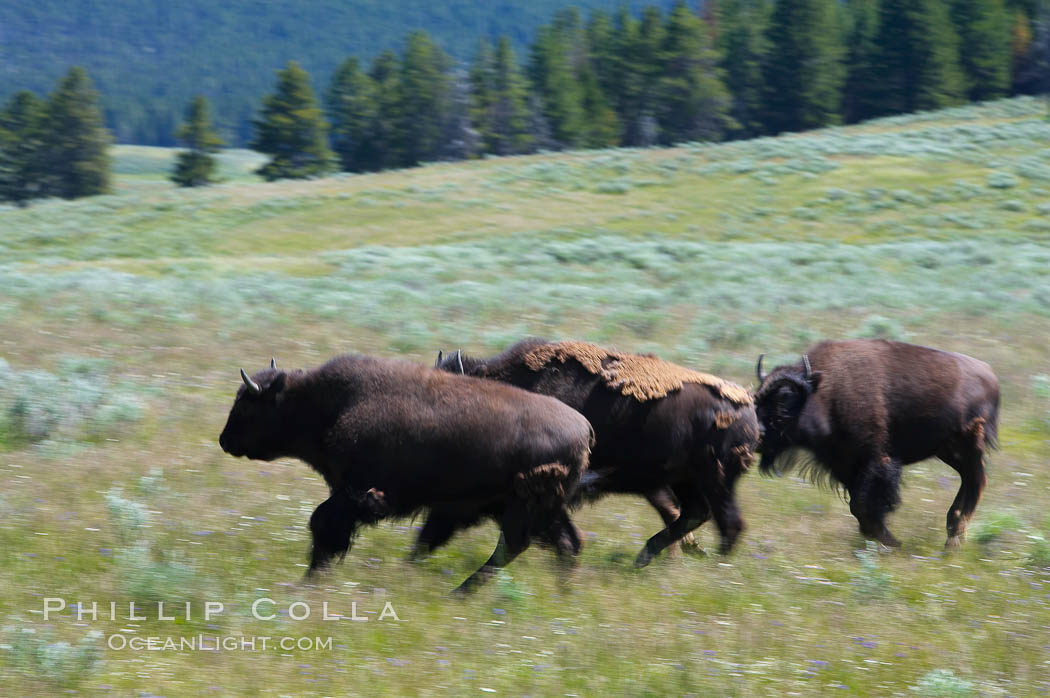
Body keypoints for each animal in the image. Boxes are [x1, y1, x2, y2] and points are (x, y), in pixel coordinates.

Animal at [217, 354, 596, 591]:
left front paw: (311, 578)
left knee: (515, 546)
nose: (224, 440)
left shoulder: (355, 493)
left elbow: (322, 525)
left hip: (520, 507)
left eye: (248, 407)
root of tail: (584, 428)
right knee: (566, 543)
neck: (325, 403)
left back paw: (459, 592)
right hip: (534, 509)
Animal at [430, 337, 760, 566]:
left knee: (728, 523)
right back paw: (645, 558)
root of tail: (748, 406)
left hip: (714, 480)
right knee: (694, 514)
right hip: (684, 481)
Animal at [755, 337, 999, 550]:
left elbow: (864, 504)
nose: (757, 433)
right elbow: (859, 506)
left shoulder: (874, 459)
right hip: (948, 451)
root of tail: (990, 375)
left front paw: (890, 542)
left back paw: (953, 539)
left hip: (967, 446)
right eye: (757, 398)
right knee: (970, 480)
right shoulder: (844, 466)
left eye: (786, 399)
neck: (826, 392)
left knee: (976, 480)